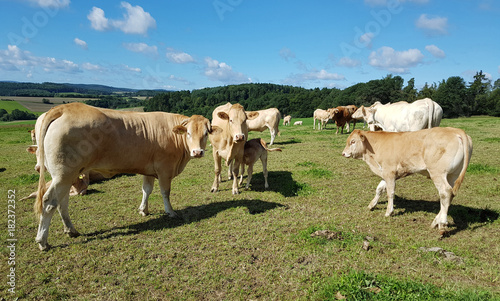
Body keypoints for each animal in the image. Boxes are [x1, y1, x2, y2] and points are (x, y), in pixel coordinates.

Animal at [31, 102, 219, 250]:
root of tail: (63, 108)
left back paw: (71, 230)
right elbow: (165, 192)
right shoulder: (164, 169)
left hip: (68, 174)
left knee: (62, 202)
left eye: (206, 133)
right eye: (188, 133)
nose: (197, 152)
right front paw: (170, 212)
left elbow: (146, 190)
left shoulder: (149, 169)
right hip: (63, 174)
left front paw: (144, 210)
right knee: (49, 201)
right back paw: (42, 241)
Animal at [342, 127, 474, 234]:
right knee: (449, 195)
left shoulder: (389, 172)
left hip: (438, 173)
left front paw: (389, 212)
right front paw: (371, 205)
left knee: (445, 192)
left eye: (353, 141)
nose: (343, 153)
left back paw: (442, 223)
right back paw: (436, 221)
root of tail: (455, 130)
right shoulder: (386, 173)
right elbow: (379, 189)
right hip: (452, 175)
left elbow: (390, 193)